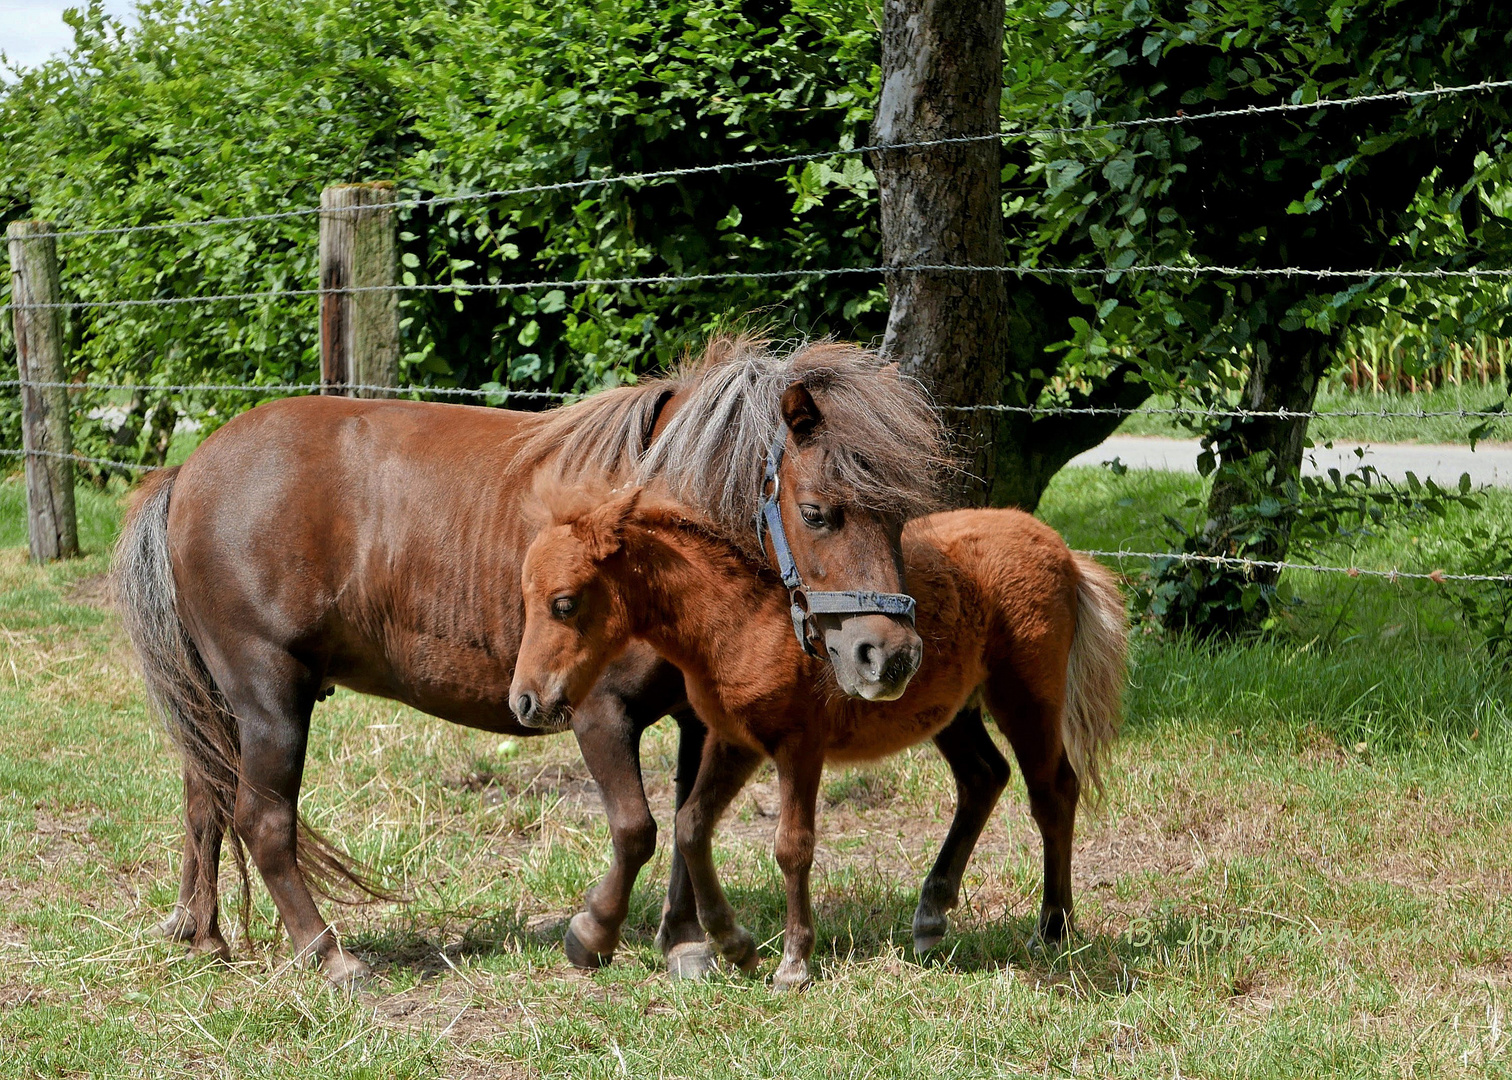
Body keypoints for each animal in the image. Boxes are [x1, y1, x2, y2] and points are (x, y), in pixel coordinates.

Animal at [117, 334, 949, 974]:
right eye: (818, 512)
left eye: (901, 515)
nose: (889, 657)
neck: (649, 549)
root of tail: (188, 473)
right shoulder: (597, 713)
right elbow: (638, 830)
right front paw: (592, 936)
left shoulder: (697, 721)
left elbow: (689, 828)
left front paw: (685, 944)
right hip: (271, 694)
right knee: (262, 820)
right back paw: (329, 956)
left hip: (224, 701)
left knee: (204, 798)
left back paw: (204, 936)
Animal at [514, 487, 1130, 986]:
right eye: (525, 599)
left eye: (564, 602)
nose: (526, 701)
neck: (739, 619)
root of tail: (1060, 548)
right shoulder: (735, 740)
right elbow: (690, 826)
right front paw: (734, 945)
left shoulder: (799, 746)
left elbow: (793, 847)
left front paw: (793, 962)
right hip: (950, 709)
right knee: (984, 777)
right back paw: (932, 915)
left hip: (1027, 697)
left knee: (1052, 792)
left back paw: (1053, 929)